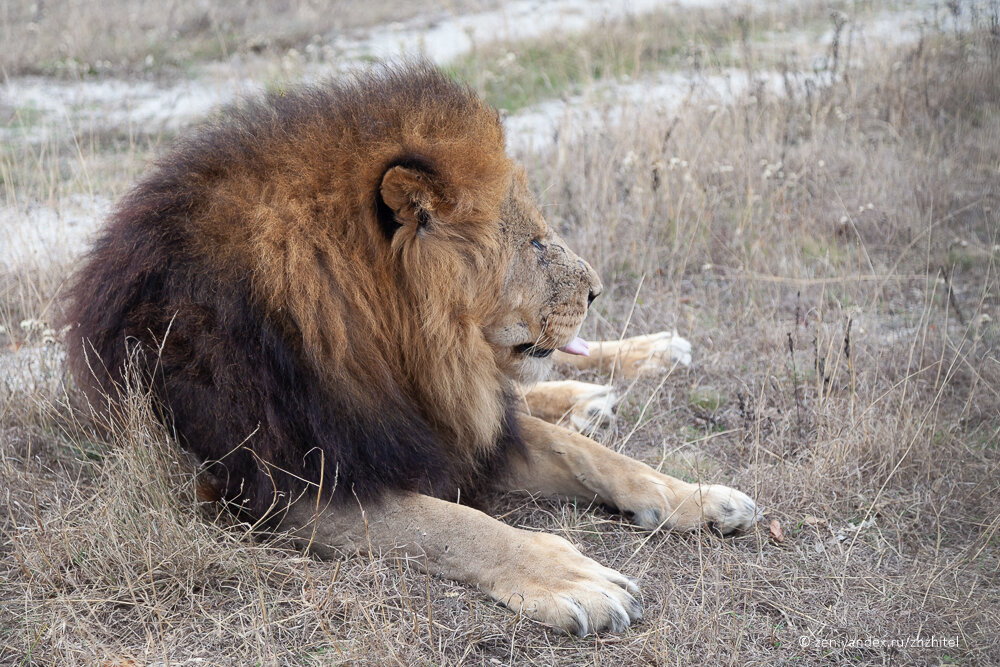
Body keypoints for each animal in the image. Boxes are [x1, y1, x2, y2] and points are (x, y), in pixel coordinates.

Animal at [64, 64, 756, 636]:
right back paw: (592, 396)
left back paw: (649, 357)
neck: (393, 354)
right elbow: (457, 526)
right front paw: (573, 581)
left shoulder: (451, 427)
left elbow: (593, 457)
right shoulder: (294, 488)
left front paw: (698, 497)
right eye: (534, 244)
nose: (596, 290)